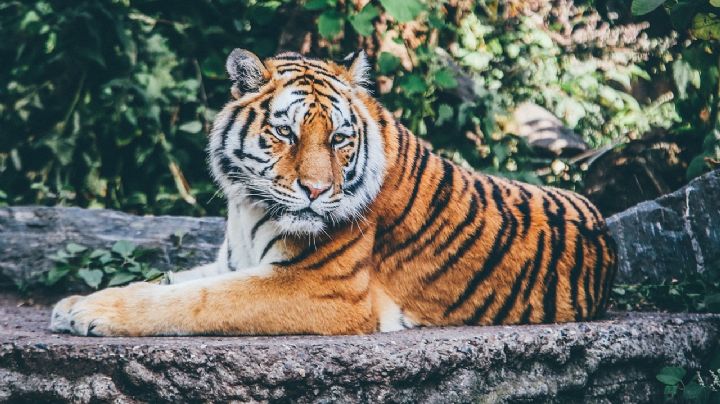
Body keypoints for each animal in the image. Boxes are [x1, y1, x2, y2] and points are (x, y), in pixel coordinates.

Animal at [50, 49, 617, 336]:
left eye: (340, 139)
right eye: (286, 133)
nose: (317, 190)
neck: (246, 206)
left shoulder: (321, 287)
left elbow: (195, 300)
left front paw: (91, 313)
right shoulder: (233, 261)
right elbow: (169, 281)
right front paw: (75, 302)